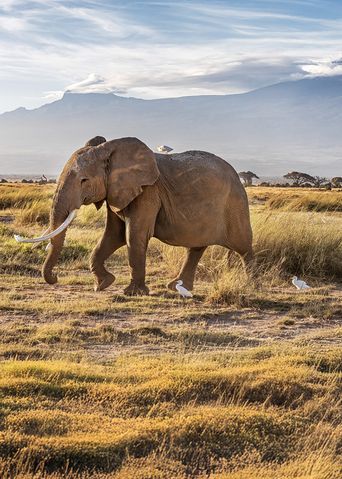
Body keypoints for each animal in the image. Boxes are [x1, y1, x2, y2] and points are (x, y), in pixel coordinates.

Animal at [15, 135, 251, 292]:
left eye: (84, 180)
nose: (55, 277)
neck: (109, 150)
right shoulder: (116, 192)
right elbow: (113, 235)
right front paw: (103, 284)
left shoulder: (148, 192)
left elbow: (134, 235)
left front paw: (132, 293)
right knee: (196, 247)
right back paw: (177, 287)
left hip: (235, 203)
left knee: (243, 247)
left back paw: (251, 285)